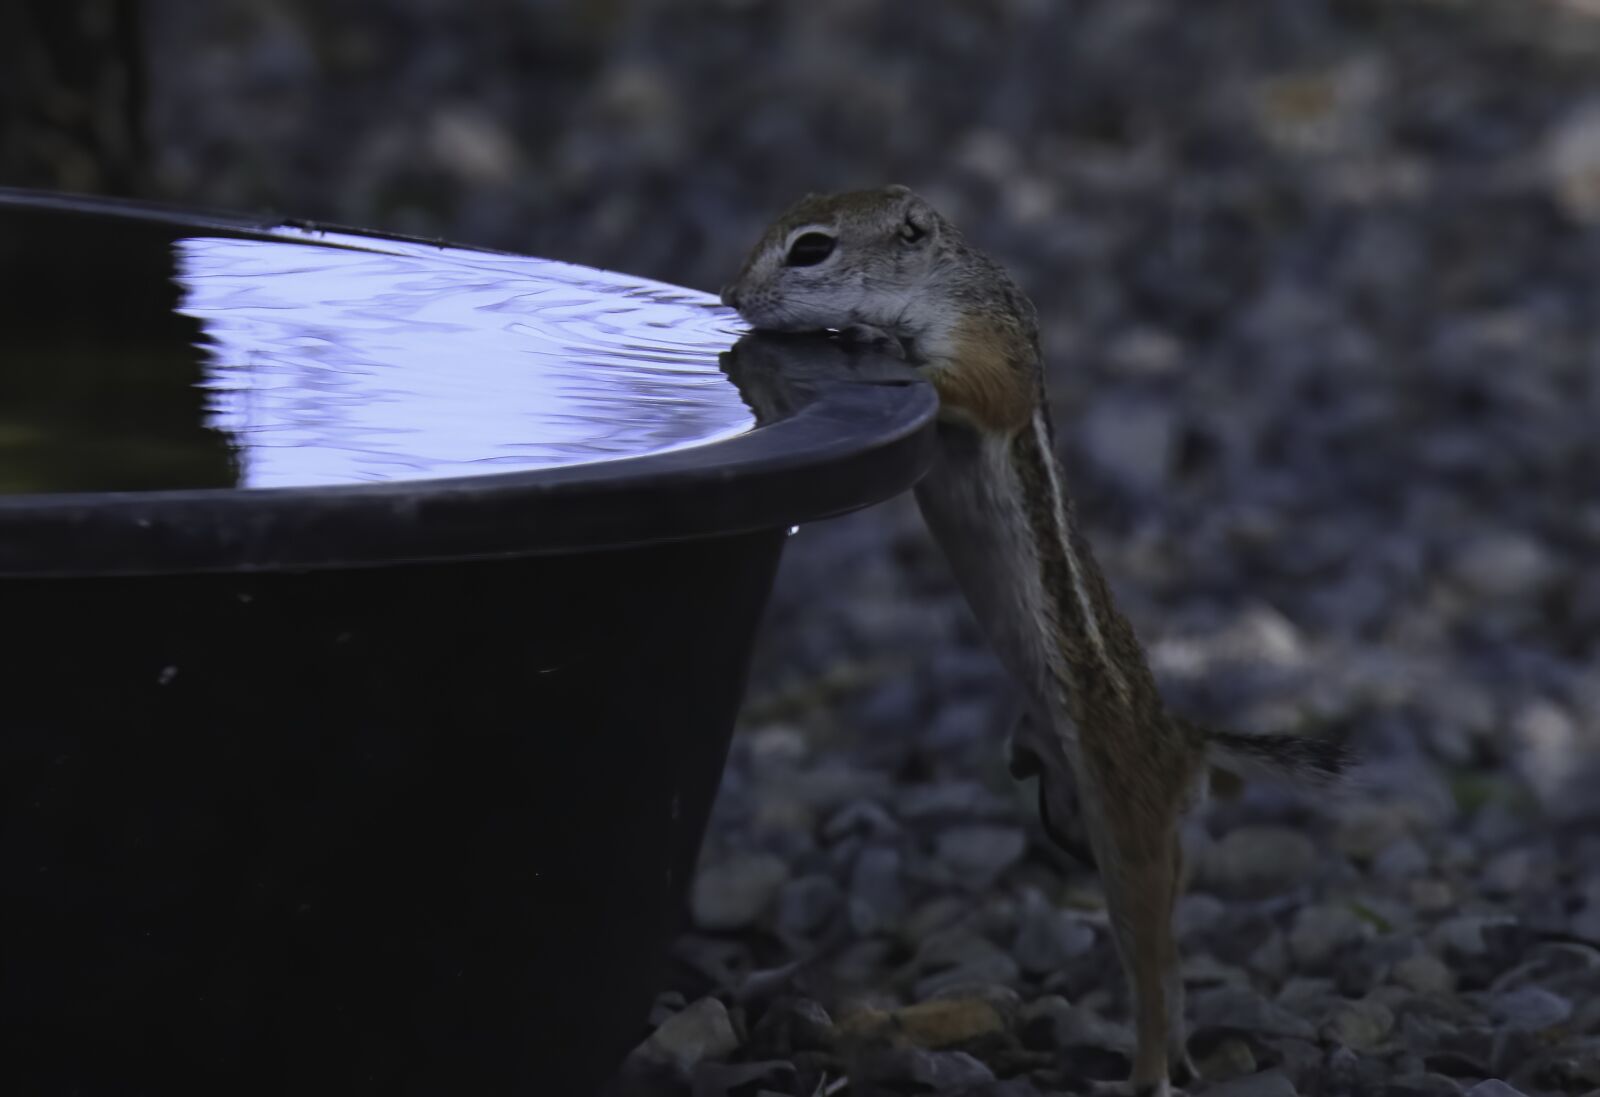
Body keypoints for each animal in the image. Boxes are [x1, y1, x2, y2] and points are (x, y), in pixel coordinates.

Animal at [722, 185, 1349, 1095]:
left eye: (811, 249)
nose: (733, 296)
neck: (948, 277)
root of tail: (1185, 743)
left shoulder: (989, 347)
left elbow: (978, 390)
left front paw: (875, 343)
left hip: (1126, 823)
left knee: (1148, 957)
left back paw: (1146, 1073)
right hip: (1080, 817)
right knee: (1171, 959)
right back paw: (1186, 1055)